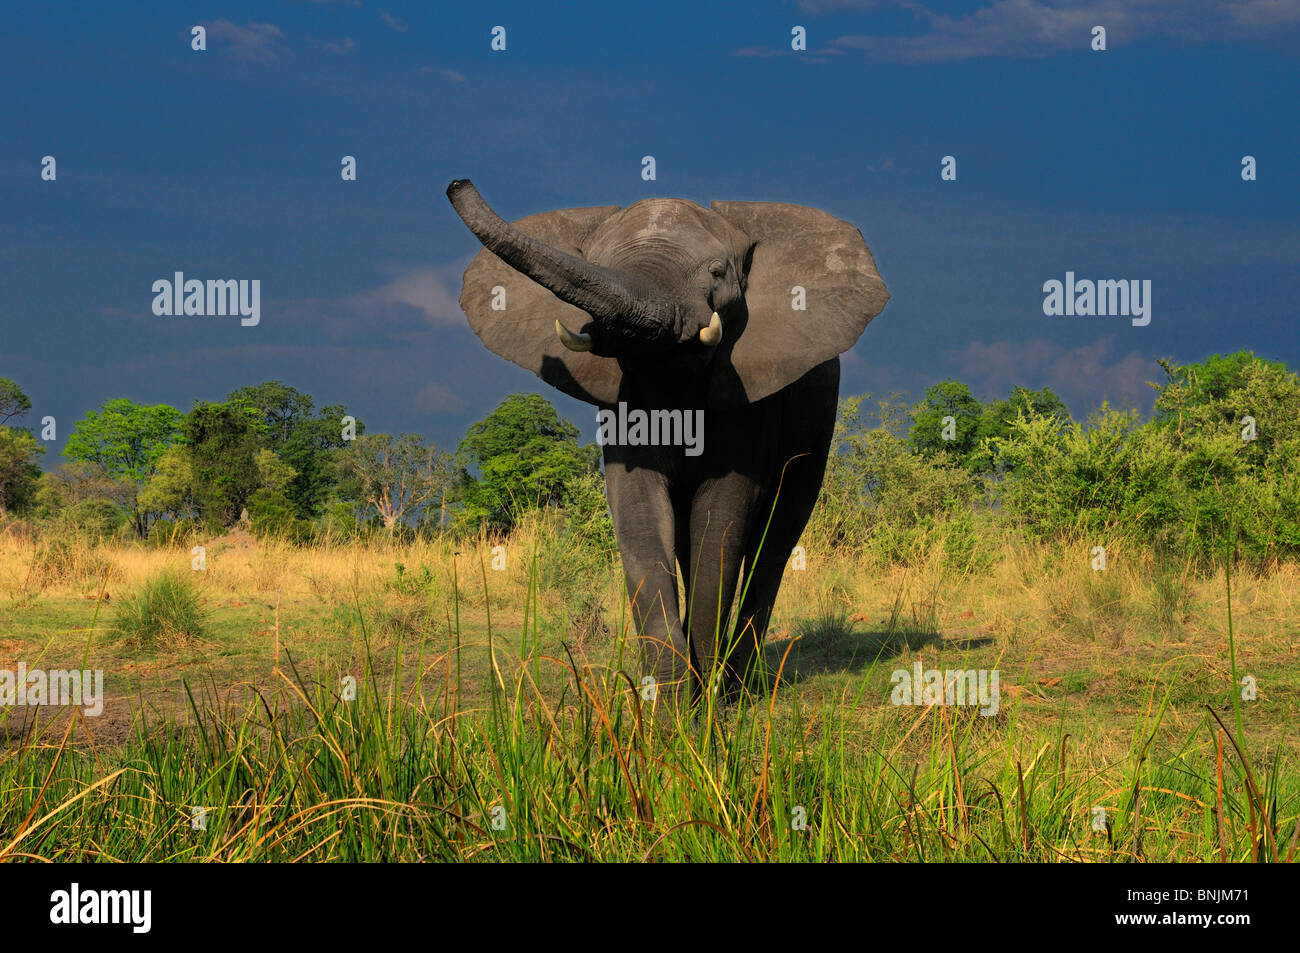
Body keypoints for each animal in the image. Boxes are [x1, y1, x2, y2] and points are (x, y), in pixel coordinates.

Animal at [441, 178, 889, 702]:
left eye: (718, 272)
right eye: (597, 260)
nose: (457, 183)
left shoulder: (746, 393)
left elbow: (723, 512)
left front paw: (708, 706)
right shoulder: (625, 397)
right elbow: (638, 510)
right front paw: (667, 705)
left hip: (819, 414)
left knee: (777, 538)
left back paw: (739, 687)